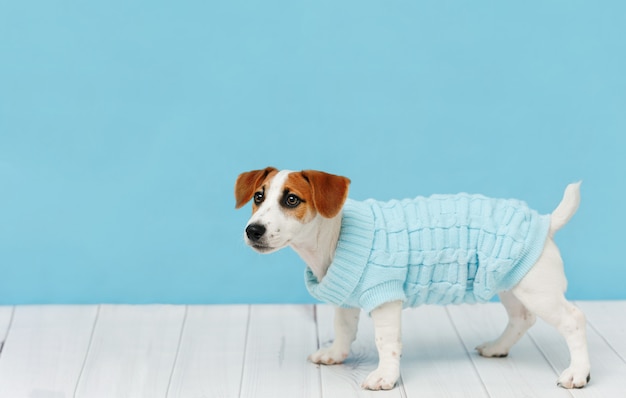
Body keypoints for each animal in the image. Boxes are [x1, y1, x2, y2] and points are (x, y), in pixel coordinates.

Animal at [234, 166, 588, 390]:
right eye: (258, 197)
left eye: (291, 199)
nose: (253, 230)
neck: (334, 235)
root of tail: (545, 221)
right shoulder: (347, 299)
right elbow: (344, 329)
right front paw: (335, 354)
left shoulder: (385, 297)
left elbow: (386, 342)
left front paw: (385, 377)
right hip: (508, 281)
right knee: (522, 318)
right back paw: (497, 347)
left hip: (536, 290)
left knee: (573, 320)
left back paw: (577, 373)